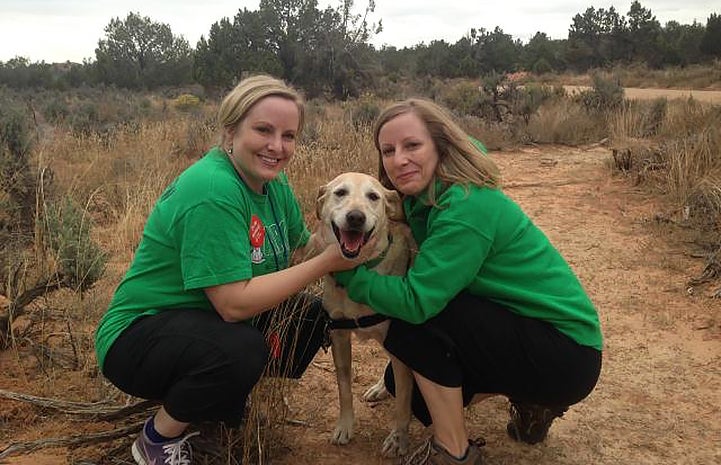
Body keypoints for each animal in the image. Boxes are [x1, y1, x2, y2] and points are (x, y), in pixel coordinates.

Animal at [312, 172, 414, 454]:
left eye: (373, 196)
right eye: (340, 192)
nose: (356, 217)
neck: (358, 270)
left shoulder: (399, 340)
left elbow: (403, 401)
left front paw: (399, 438)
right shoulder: (338, 336)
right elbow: (344, 388)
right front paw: (344, 427)